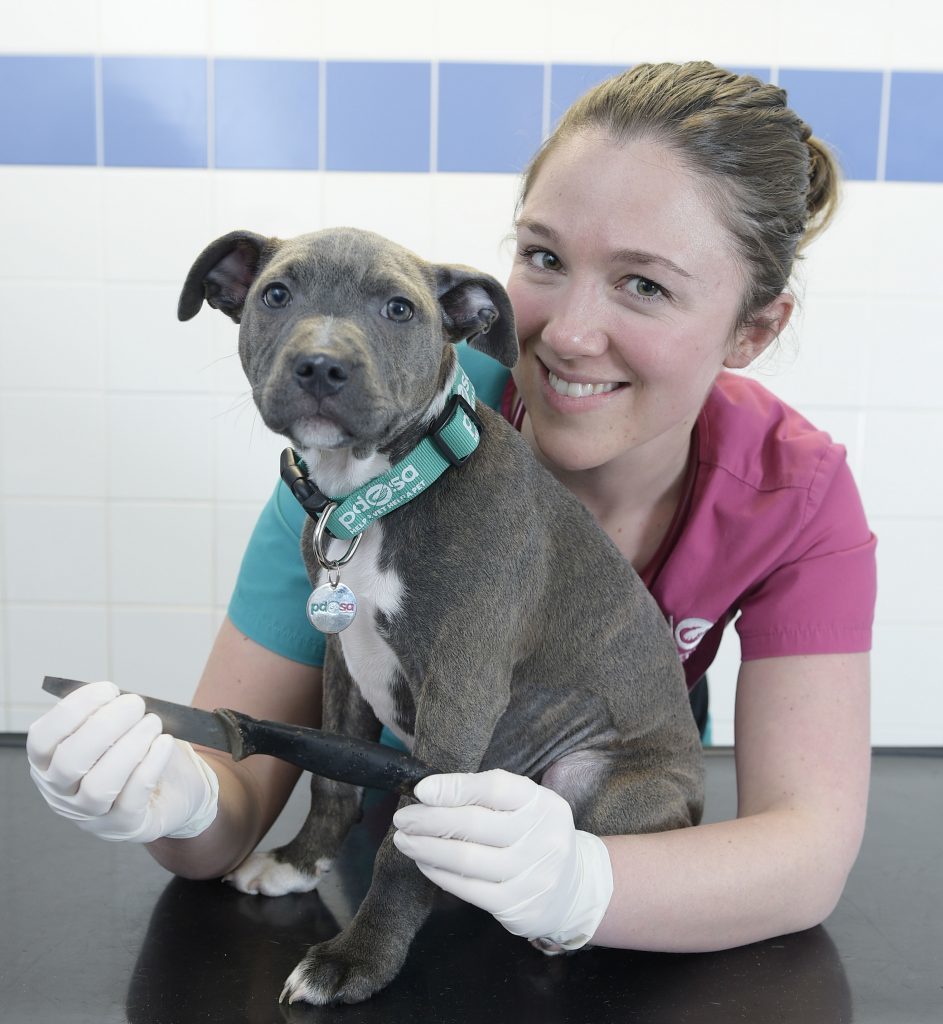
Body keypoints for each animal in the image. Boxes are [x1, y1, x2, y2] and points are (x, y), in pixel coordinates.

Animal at [180, 228, 704, 1003]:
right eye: (276, 294)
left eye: (399, 309)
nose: (322, 365)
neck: (377, 495)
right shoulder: (342, 658)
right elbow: (332, 779)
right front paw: (302, 862)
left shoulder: (460, 687)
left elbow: (405, 843)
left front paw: (357, 960)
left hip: (601, 782)